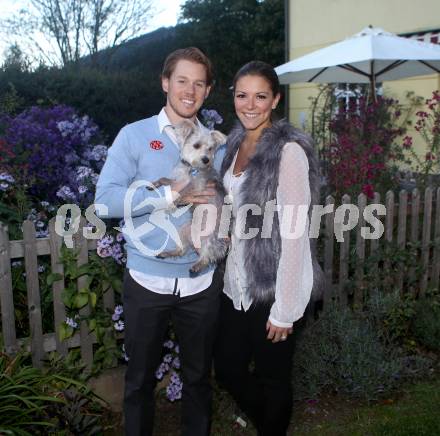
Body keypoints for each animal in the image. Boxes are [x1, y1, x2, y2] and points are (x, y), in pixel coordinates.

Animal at [151, 119, 229, 274]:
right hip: (184, 229)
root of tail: (196, 241)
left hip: (212, 236)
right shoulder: (178, 181)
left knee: (207, 256)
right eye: (196, 145)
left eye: (210, 148)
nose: (206, 160)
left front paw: (173, 204)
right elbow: (165, 180)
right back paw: (167, 253)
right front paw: (155, 184)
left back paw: (197, 266)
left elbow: (183, 193)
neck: (192, 169)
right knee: (181, 250)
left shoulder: (197, 187)